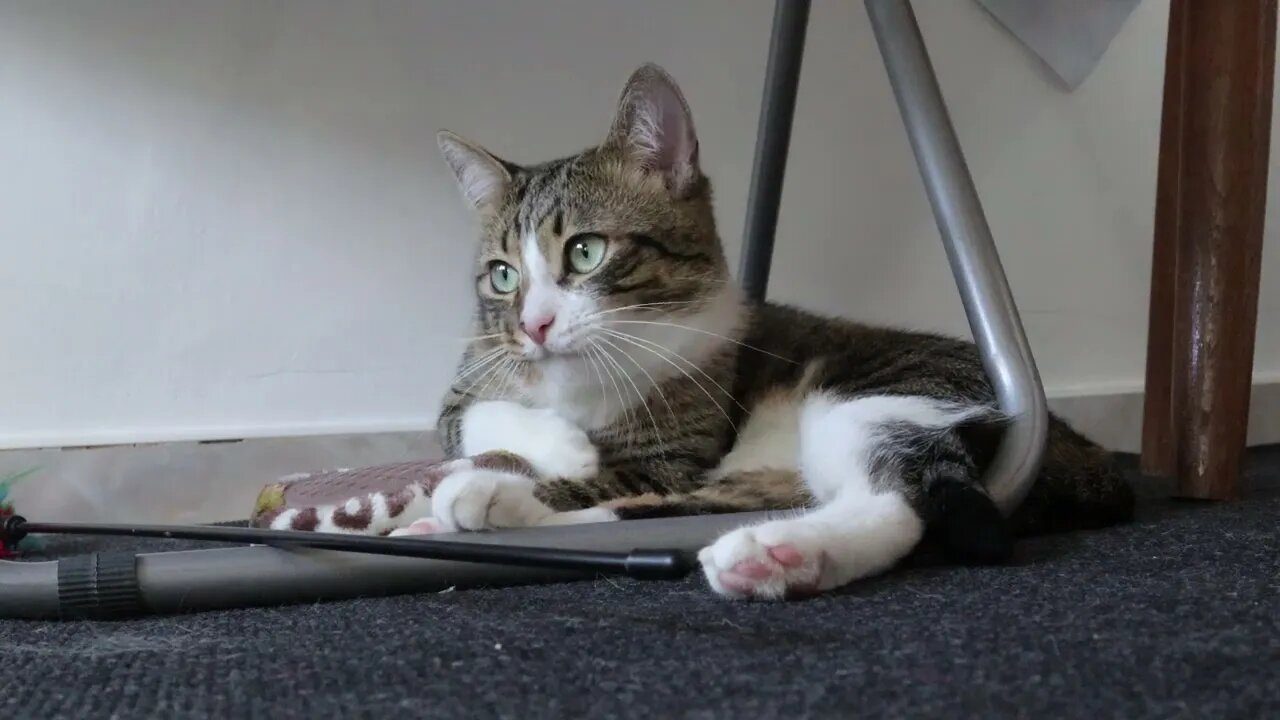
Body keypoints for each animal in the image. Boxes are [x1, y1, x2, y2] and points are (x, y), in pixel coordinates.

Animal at [409, 64, 1131, 597]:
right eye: (503, 275)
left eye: (585, 252)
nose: (533, 325)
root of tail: (1081, 450)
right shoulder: (471, 379)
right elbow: (471, 414)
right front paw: (554, 443)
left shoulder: (677, 451)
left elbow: (615, 475)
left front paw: (562, 458)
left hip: (876, 392)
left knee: (893, 501)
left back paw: (773, 552)